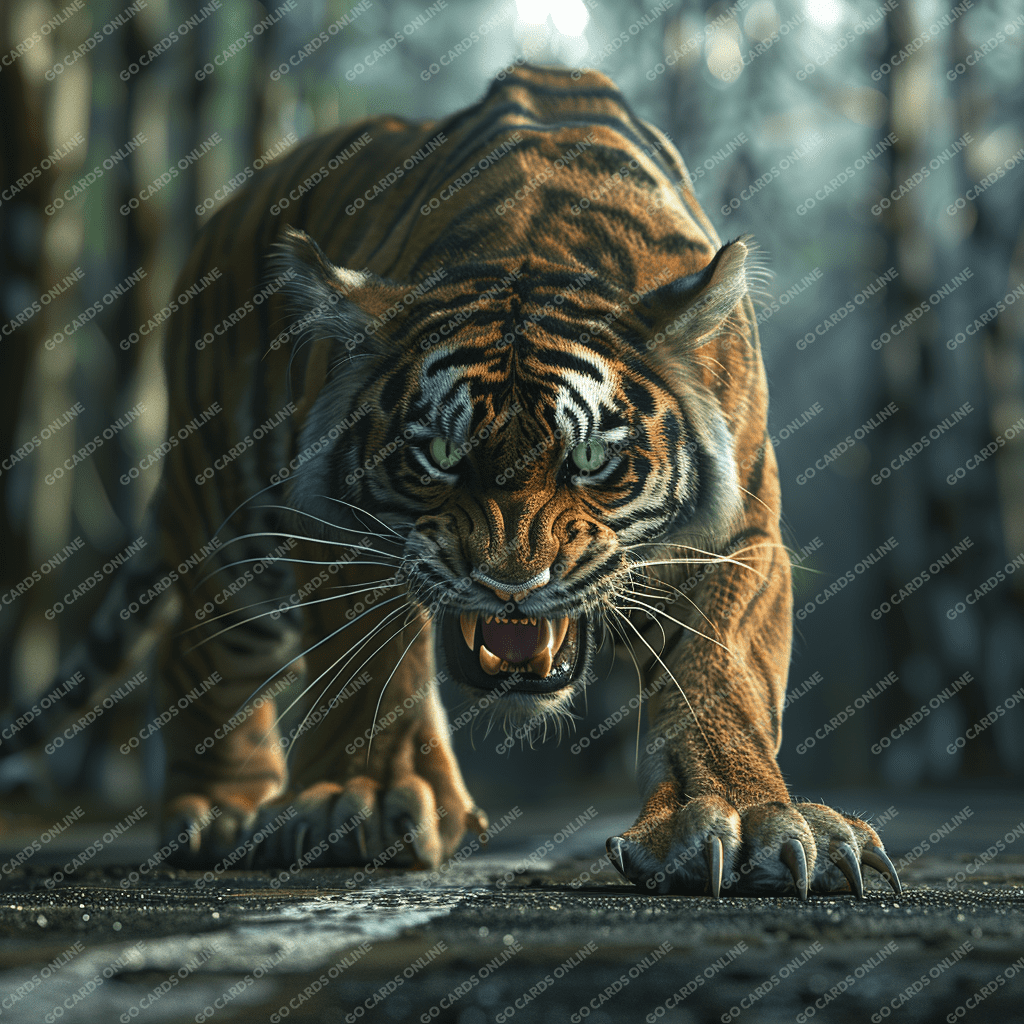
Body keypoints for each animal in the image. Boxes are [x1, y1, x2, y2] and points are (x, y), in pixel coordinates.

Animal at [9, 63, 901, 898]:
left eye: (590, 461)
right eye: (439, 455)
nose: (511, 587)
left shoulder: (734, 535)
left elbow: (720, 676)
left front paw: (747, 821)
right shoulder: (336, 526)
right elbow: (370, 668)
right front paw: (364, 800)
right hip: (229, 524)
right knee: (205, 647)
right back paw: (219, 812)